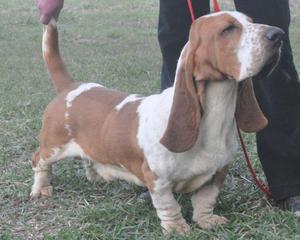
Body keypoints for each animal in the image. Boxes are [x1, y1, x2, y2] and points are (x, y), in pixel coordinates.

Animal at [31, 11, 284, 234]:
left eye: (251, 20)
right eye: (228, 29)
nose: (278, 34)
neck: (215, 114)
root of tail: (71, 86)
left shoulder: (217, 173)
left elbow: (205, 201)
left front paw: (208, 221)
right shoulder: (157, 180)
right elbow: (169, 206)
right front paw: (177, 228)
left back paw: (96, 177)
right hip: (53, 146)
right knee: (39, 161)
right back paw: (41, 189)